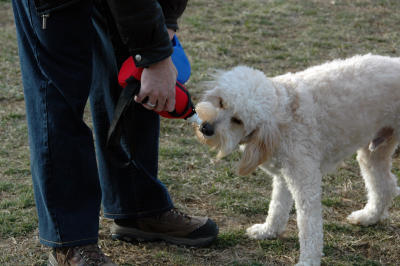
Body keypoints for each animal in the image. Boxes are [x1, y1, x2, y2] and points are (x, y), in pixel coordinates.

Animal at [195, 54, 400, 266]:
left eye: (237, 120)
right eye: (221, 102)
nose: (205, 128)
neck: (282, 114)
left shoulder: (305, 180)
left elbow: (309, 225)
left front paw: (308, 260)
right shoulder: (284, 174)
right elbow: (277, 206)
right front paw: (268, 231)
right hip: (374, 153)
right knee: (385, 186)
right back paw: (368, 217)